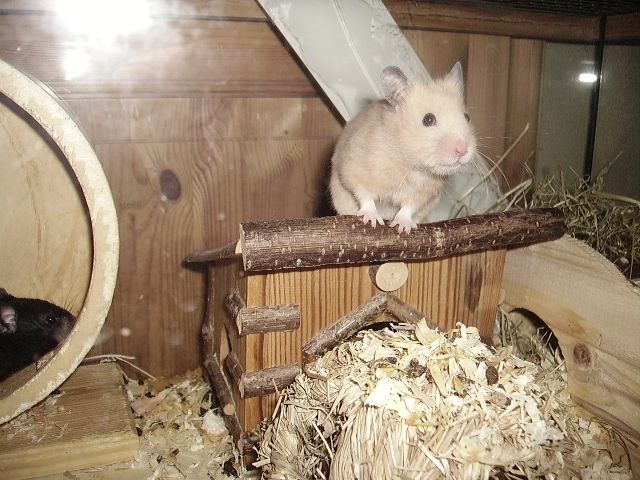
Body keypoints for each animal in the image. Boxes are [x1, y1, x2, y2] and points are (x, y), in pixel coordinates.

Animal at [329, 62, 477, 233]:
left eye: (467, 117)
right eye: (428, 119)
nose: (462, 150)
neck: (409, 164)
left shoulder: (423, 193)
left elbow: (408, 207)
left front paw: (403, 226)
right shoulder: (355, 171)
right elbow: (365, 195)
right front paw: (372, 219)